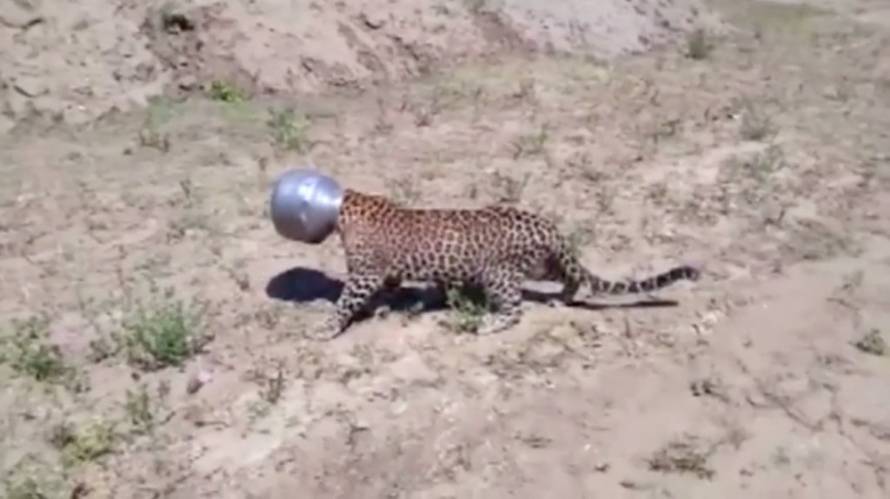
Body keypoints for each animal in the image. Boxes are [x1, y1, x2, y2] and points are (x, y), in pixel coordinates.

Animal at [307, 188, 701, 340]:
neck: (347, 207)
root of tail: (546, 225)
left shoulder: (364, 274)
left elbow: (346, 301)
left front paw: (325, 328)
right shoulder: (384, 271)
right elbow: (393, 288)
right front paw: (389, 307)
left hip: (496, 273)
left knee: (515, 309)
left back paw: (491, 323)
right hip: (540, 263)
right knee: (569, 275)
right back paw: (562, 298)